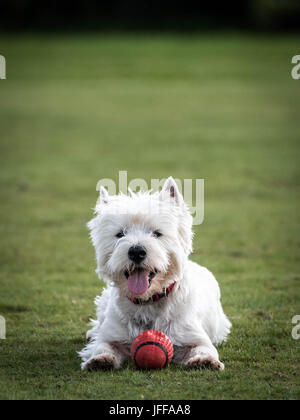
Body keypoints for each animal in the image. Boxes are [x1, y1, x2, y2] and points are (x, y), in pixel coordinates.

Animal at [78, 177, 231, 370]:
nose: (136, 252)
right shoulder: (112, 335)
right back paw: (92, 332)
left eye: (157, 233)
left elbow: (203, 348)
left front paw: (205, 361)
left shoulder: (193, 336)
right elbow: (103, 345)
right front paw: (99, 360)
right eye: (120, 234)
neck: (147, 302)